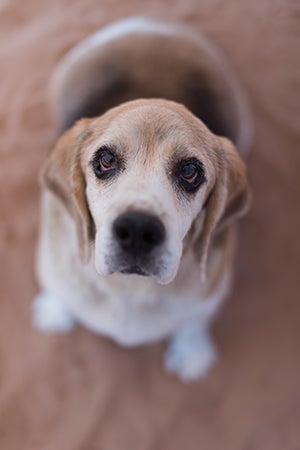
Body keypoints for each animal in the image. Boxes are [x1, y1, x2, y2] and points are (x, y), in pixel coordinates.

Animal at [32, 18, 252, 384]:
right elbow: (60, 290)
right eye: (105, 160)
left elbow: (195, 320)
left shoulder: (213, 286)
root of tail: (154, 24)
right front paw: (55, 311)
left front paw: (192, 352)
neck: (130, 289)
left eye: (190, 171)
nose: (137, 229)